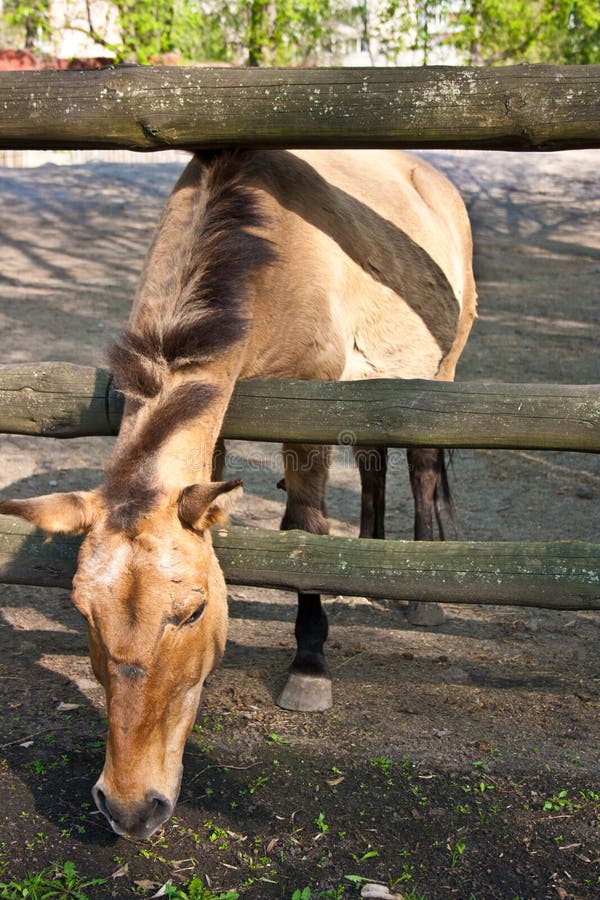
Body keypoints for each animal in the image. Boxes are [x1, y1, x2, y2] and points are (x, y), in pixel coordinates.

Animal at [0, 148, 476, 839]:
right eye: (82, 612)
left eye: (194, 612)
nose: (130, 807)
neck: (263, 250)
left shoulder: (306, 415)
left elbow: (303, 532)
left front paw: (310, 667)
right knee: (373, 456)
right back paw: (371, 555)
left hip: (438, 372)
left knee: (423, 461)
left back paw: (422, 594)